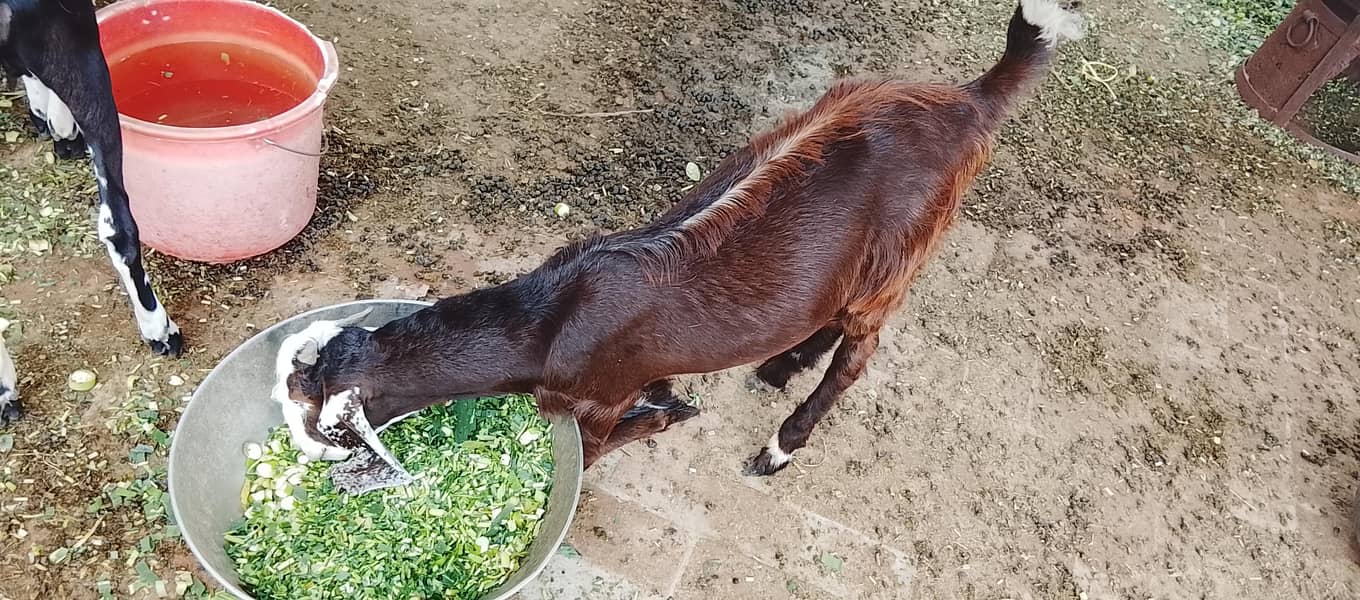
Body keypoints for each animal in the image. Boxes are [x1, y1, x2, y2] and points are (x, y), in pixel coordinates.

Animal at [273, 0, 1085, 480]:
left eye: (330, 425)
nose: (307, 457)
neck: (549, 319)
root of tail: (971, 101)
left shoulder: (594, 394)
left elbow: (599, 449)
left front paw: (672, 413)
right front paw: (672, 397)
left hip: (904, 250)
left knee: (860, 354)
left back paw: (780, 445)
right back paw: (780, 364)